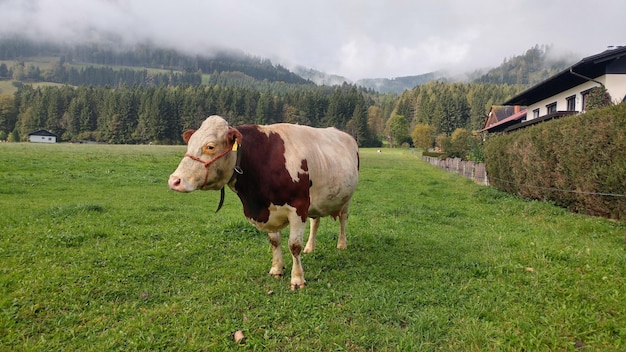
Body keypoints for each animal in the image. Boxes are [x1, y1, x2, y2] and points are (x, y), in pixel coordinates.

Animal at [168, 115, 358, 288]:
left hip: (347, 198)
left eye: (210, 146)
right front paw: (277, 269)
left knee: (343, 218)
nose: (174, 180)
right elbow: (274, 241)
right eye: (190, 143)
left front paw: (297, 279)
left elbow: (294, 245)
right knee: (315, 222)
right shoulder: (271, 211)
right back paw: (310, 247)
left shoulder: (299, 207)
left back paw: (342, 244)